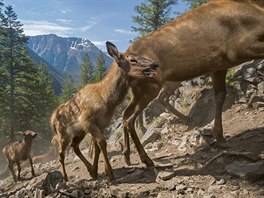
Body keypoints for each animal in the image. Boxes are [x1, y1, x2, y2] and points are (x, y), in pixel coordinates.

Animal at [50, 41, 159, 181]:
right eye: (132, 60)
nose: (155, 64)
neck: (107, 100)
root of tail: (52, 120)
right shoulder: (88, 120)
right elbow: (102, 142)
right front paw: (110, 174)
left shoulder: (101, 124)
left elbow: (97, 146)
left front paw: (99, 170)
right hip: (63, 134)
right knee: (61, 153)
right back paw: (65, 177)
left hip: (79, 132)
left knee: (75, 146)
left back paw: (90, 171)